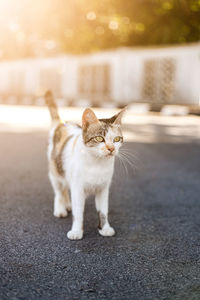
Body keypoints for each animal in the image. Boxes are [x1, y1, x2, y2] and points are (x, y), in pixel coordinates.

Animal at [45, 90, 125, 240]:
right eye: (99, 138)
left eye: (117, 139)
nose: (111, 148)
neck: (97, 164)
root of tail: (61, 123)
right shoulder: (78, 189)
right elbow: (78, 213)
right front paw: (76, 231)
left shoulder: (103, 189)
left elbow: (103, 211)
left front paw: (104, 228)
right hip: (56, 170)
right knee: (59, 191)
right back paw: (60, 209)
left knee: (65, 188)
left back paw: (67, 204)